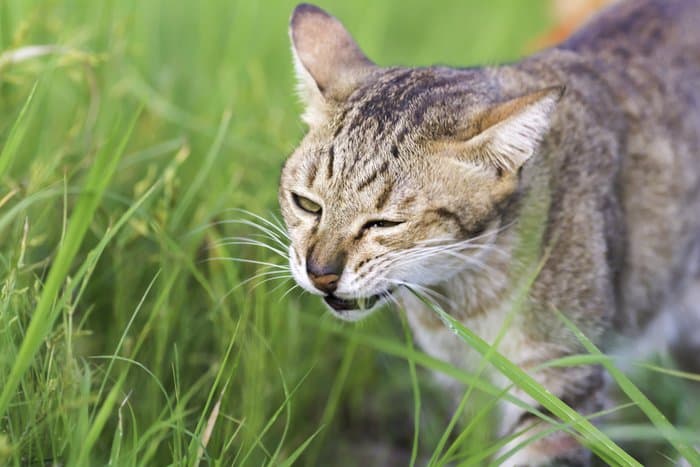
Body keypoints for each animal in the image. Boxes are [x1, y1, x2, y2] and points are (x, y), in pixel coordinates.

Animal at [276, 1, 700, 466]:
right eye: (307, 204)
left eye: (384, 224)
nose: (320, 272)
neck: (464, 295)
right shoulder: (466, 381)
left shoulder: (560, 380)